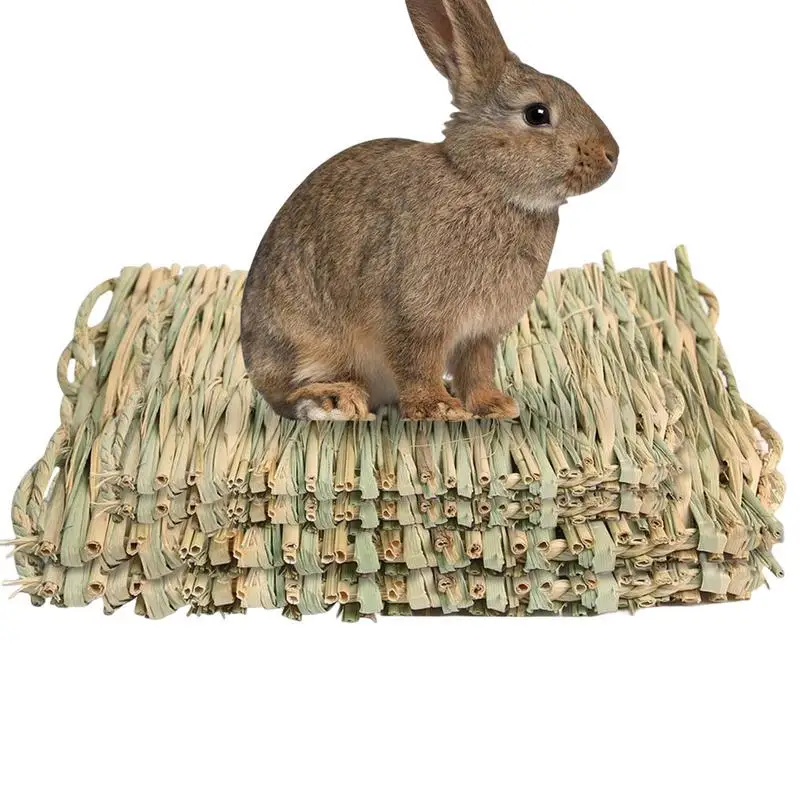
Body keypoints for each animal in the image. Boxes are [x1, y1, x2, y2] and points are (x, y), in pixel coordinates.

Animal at [242, 0, 618, 422]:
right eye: (537, 114)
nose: (612, 155)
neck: (485, 183)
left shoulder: (480, 334)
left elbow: (477, 368)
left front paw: (495, 405)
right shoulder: (415, 318)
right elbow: (417, 363)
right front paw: (439, 408)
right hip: (303, 341)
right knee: (288, 395)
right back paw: (336, 400)